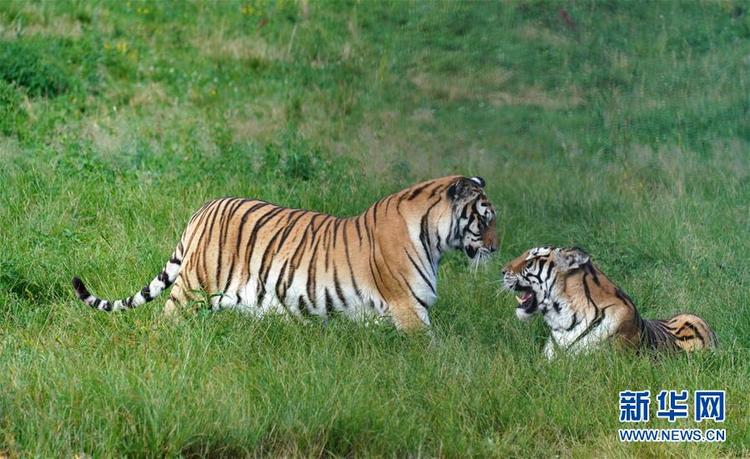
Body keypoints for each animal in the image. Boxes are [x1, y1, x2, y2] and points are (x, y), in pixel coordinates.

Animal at [73, 176, 500, 330]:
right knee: (167, 318)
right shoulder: (409, 309)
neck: (434, 237)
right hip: (193, 286)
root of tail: (205, 207)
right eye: (485, 219)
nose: (497, 249)